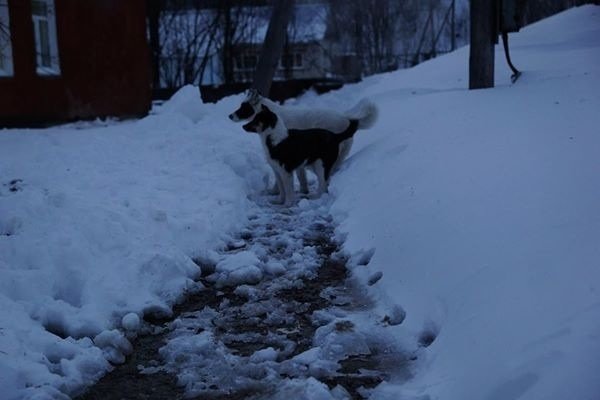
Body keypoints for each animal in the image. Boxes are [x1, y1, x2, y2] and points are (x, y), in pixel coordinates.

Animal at [229, 88, 376, 194]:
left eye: (243, 107)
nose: (229, 116)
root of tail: (346, 119)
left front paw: (276, 192)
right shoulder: (299, 162)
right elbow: (301, 178)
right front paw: (302, 191)